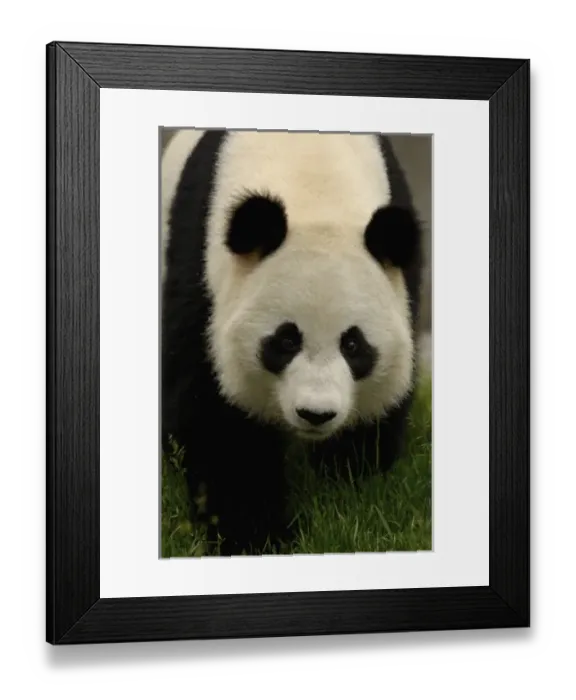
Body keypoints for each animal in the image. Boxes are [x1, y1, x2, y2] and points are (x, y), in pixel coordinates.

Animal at [161, 129, 423, 556]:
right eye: (285, 341)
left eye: (353, 346)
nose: (316, 414)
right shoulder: (201, 271)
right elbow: (216, 416)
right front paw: (255, 533)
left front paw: (351, 487)